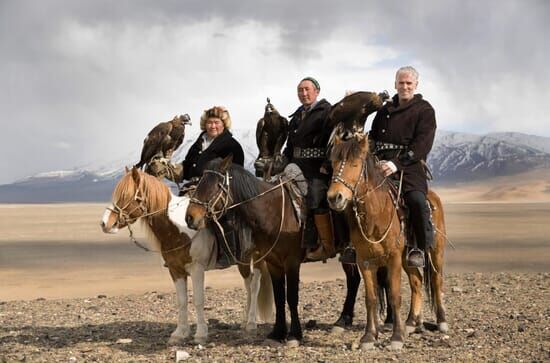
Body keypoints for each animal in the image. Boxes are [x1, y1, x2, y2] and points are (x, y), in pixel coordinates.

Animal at [100, 167, 274, 344]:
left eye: (125, 195)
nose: (105, 224)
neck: (177, 228)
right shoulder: (175, 270)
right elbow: (182, 301)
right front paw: (180, 333)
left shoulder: (197, 269)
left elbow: (198, 300)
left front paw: (201, 334)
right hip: (242, 261)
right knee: (248, 284)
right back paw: (245, 321)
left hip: (256, 258)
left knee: (254, 285)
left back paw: (251, 324)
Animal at [185, 157, 376, 350]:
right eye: (200, 181)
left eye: (215, 185)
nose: (190, 218)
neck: (273, 212)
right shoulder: (273, 262)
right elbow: (279, 297)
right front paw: (277, 333)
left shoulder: (291, 262)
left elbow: (291, 296)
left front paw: (294, 335)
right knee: (353, 280)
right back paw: (343, 320)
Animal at [328, 132, 448, 352]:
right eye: (333, 163)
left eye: (355, 164)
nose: (335, 198)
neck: (376, 213)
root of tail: (433, 197)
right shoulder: (364, 261)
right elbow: (371, 298)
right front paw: (369, 337)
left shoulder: (393, 259)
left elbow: (394, 296)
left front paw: (396, 337)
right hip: (408, 258)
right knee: (417, 281)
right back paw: (411, 323)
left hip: (435, 251)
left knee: (436, 280)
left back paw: (441, 321)